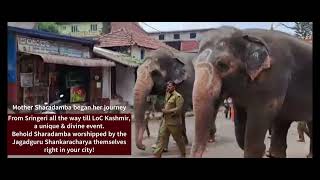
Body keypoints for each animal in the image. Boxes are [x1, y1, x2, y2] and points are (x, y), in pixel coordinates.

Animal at [191, 26, 312, 158]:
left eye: (222, 65)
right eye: (193, 65)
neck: (246, 35)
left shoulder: (273, 75)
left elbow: (255, 135)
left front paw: (262, 150)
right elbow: (240, 133)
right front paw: (264, 151)